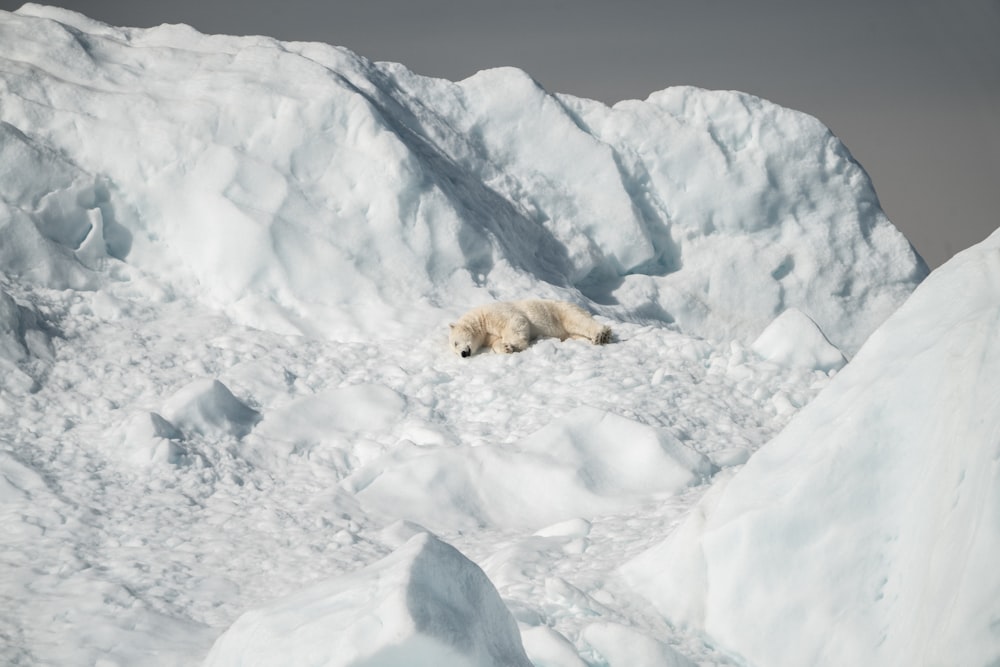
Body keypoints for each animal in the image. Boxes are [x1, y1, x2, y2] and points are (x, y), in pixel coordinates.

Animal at [452, 300, 608, 358]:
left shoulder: (494, 313)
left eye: (455, 343)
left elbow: (515, 321)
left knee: (577, 320)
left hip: (560, 311)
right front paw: (505, 348)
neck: (480, 319)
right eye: (454, 348)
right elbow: (495, 341)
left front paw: (515, 345)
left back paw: (601, 334)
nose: (463, 354)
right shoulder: (487, 336)